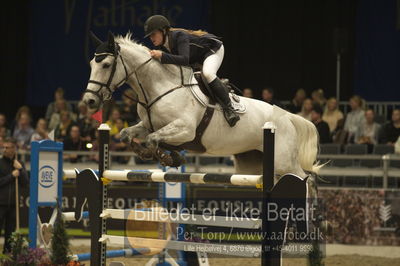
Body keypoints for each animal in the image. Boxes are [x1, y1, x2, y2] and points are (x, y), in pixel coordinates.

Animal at [83, 32, 320, 179]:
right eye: (91, 63)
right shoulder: (148, 125)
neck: (159, 87)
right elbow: (128, 134)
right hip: (251, 162)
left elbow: (153, 139)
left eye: (106, 64)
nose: (89, 101)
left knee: (305, 179)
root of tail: (287, 116)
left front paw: (166, 156)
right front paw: (164, 155)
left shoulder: (185, 129)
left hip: (284, 161)